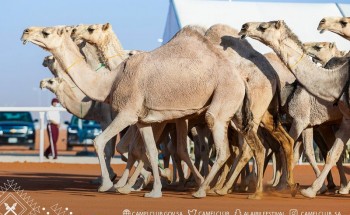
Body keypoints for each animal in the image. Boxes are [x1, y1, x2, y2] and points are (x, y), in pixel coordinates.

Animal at [21, 25, 252, 198]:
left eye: (46, 32)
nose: (25, 31)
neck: (111, 82)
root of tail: (241, 79)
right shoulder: (144, 121)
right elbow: (149, 151)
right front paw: (154, 191)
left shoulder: (127, 114)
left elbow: (100, 142)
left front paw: (107, 184)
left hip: (223, 97)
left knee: (221, 148)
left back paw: (204, 189)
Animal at [239, 20, 350, 198]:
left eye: (263, 26)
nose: (244, 26)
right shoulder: (313, 123)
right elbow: (314, 152)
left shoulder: (301, 120)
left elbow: (293, 149)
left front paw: (286, 185)